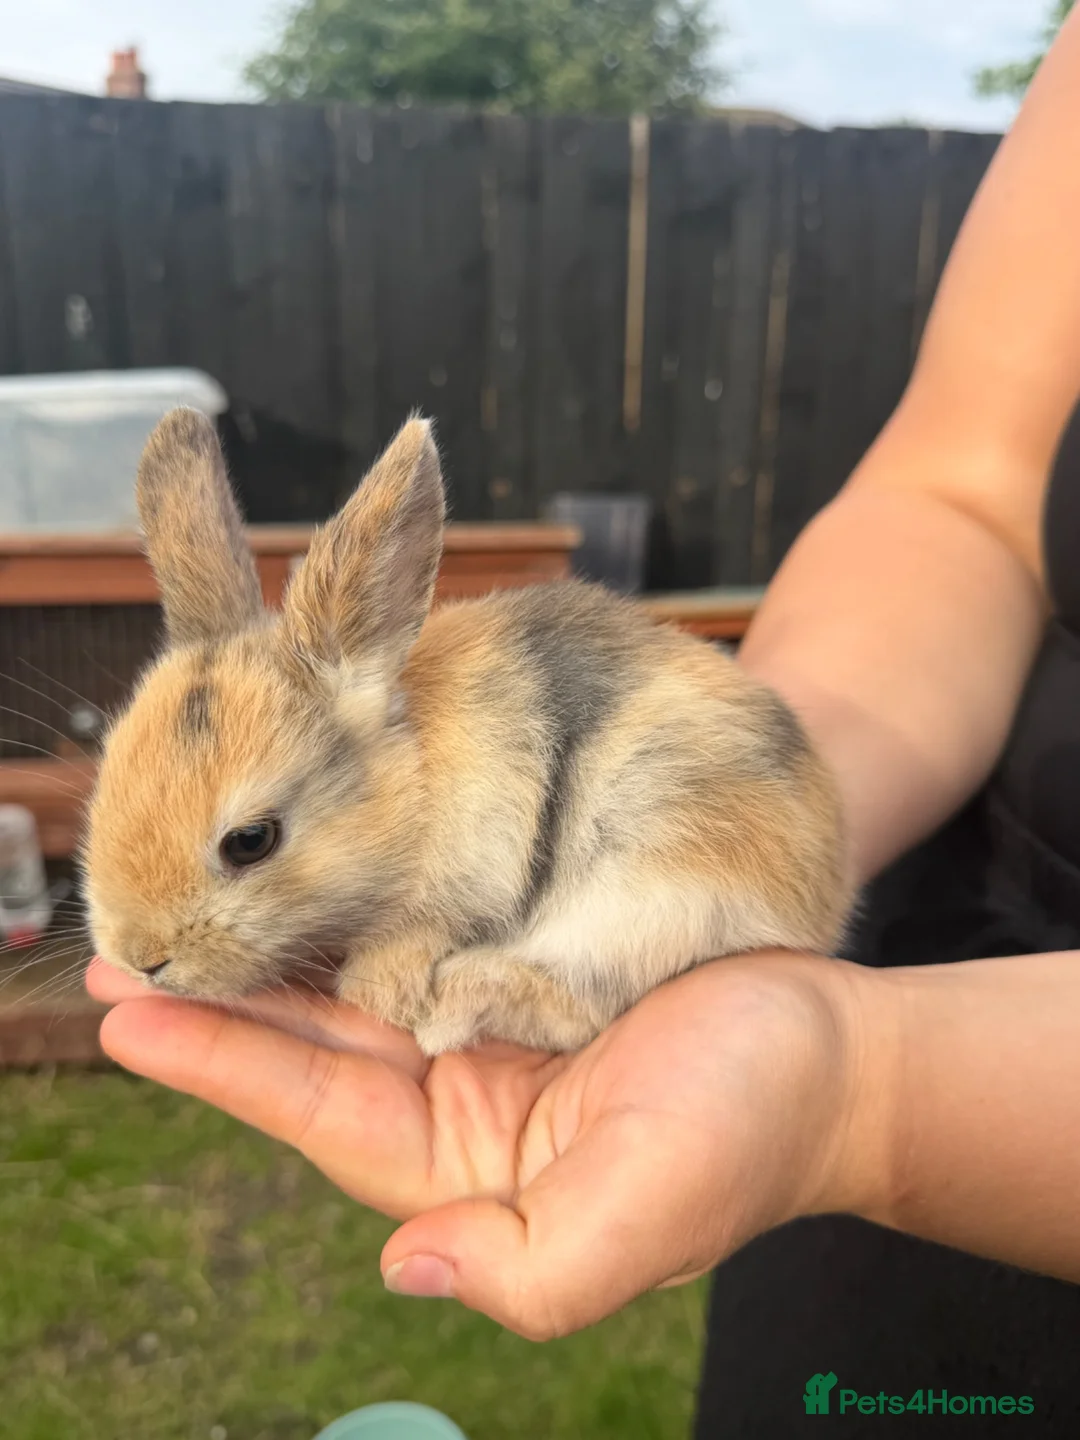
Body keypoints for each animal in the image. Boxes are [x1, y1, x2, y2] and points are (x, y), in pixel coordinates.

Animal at [83, 407, 851, 1056]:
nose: (141, 960)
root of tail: (825, 892)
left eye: (251, 841)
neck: (411, 782)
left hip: (655, 886)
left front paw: (394, 996)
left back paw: (454, 1006)